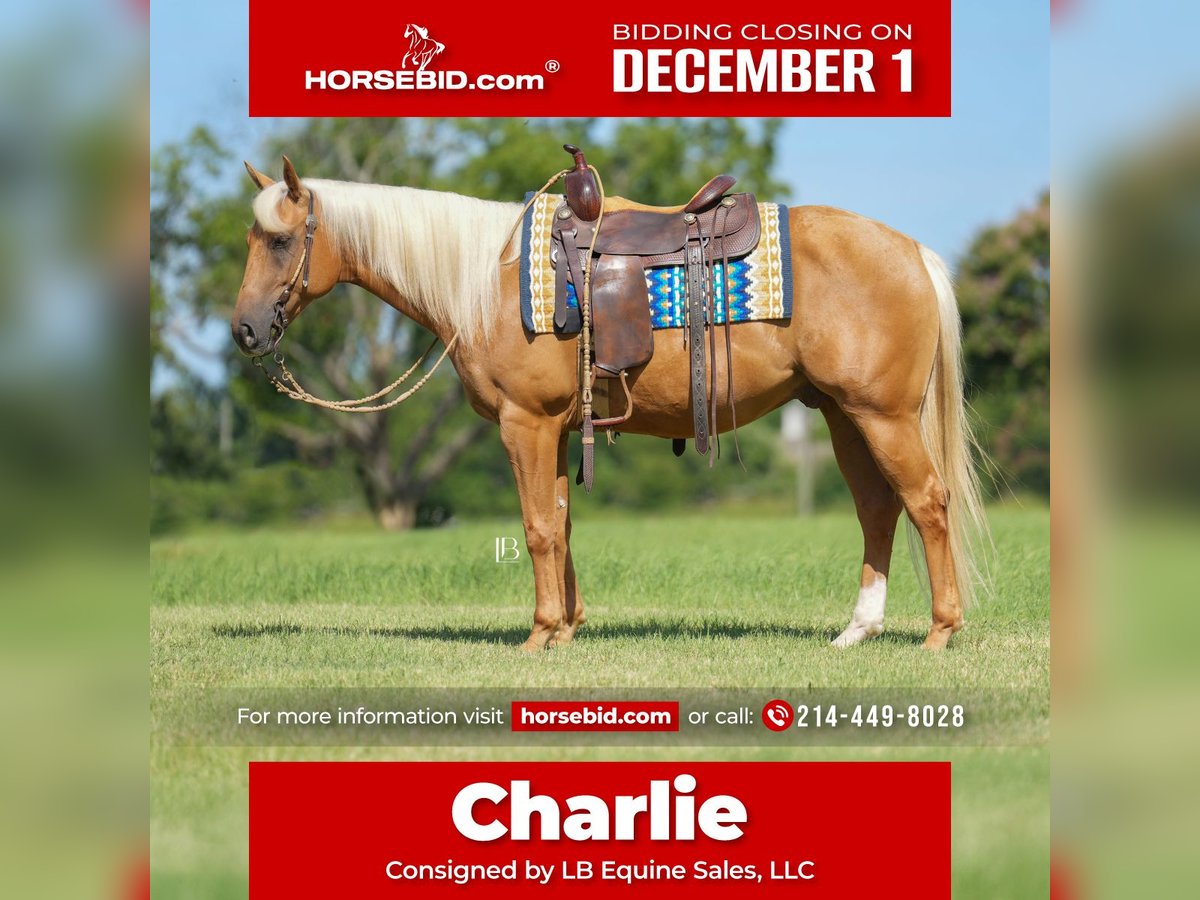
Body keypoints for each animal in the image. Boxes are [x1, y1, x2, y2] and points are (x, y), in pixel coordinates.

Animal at [232, 156, 989, 652]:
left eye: (280, 240)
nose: (244, 330)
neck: (486, 278)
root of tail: (914, 252)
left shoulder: (525, 423)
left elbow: (537, 526)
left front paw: (539, 636)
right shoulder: (560, 430)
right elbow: (562, 523)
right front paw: (567, 628)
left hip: (881, 416)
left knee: (926, 502)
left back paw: (940, 632)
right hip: (842, 415)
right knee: (878, 510)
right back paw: (857, 630)